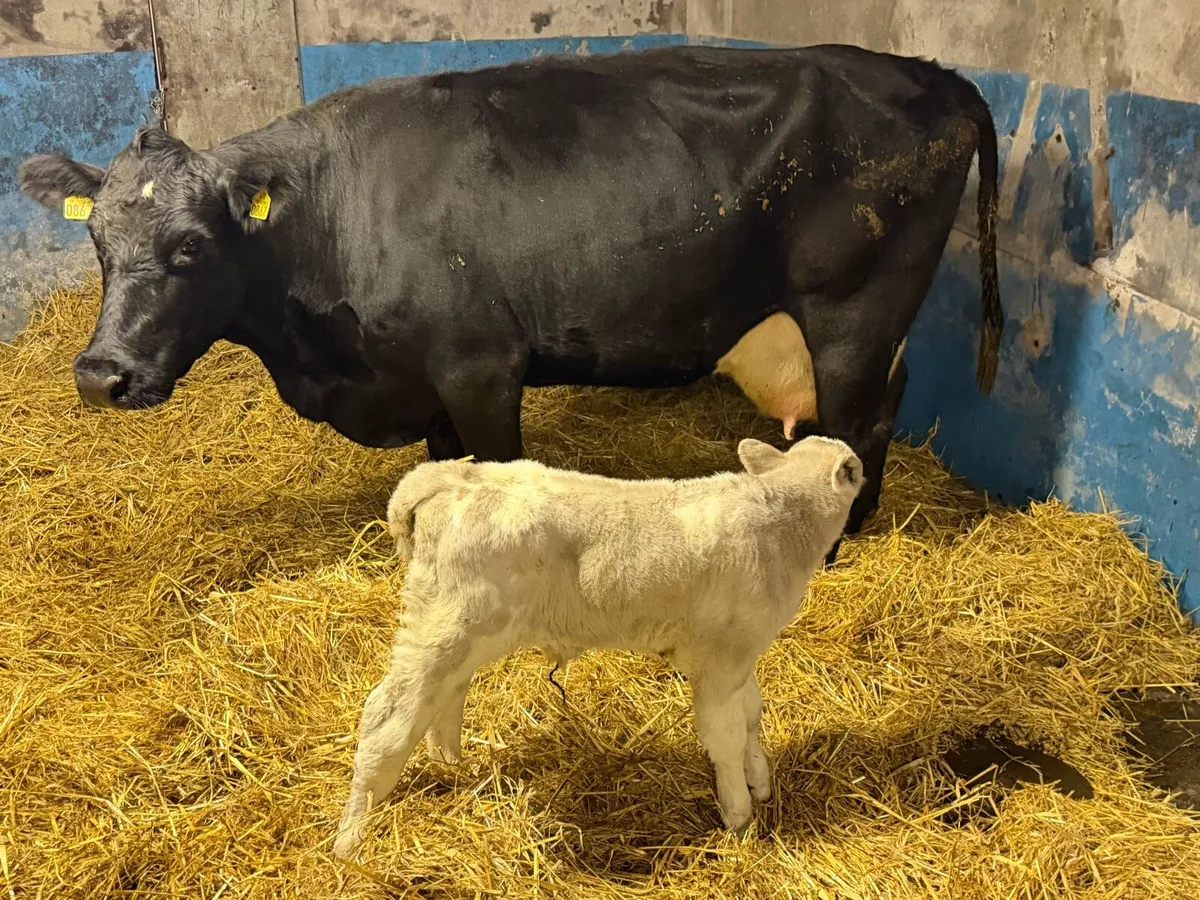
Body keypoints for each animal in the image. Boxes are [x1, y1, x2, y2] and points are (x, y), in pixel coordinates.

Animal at [17, 43, 1001, 545]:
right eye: (98, 243)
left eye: (189, 246)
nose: (100, 375)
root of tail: (936, 73)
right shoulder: (423, 383)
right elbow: (440, 468)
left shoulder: (481, 367)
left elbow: (494, 471)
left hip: (855, 310)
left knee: (860, 419)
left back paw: (841, 538)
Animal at [333, 434, 863, 857]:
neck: (782, 522)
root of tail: (447, 476)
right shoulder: (718, 658)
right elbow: (726, 737)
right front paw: (739, 816)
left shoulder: (742, 655)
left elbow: (753, 715)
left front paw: (762, 783)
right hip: (444, 625)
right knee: (385, 720)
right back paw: (350, 840)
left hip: (461, 630)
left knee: (444, 698)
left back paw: (451, 765)